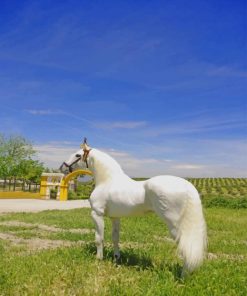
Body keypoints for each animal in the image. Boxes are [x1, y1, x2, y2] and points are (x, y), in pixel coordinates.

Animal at [60, 140, 207, 274]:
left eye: (78, 155)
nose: (62, 167)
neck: (108, 181)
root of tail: (187, 185)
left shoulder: (97, 214)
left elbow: (99, 238)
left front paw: (98, 260)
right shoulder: (115, 217)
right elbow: (115, 238)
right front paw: (116, 258)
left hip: (174, 224)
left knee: (185, 245)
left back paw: (183, 275)